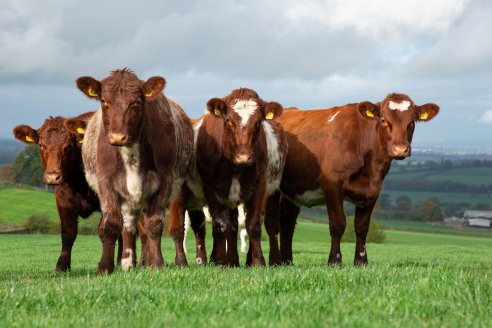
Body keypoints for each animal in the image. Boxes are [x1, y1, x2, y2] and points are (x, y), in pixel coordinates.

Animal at [65, 68, 194, 272]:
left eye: (137, 102)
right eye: (104, 101)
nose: (118, 136)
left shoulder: (165, 182)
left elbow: (154, 224)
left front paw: (157, 263)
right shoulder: (106, 183)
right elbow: (111, 225)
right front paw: (105, 266)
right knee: (128, 227)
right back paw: (127, 262)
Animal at [170, 88, 288, 266]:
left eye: (258, 122)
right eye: (229, 121)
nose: (244, 156)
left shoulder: (260, 186)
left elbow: (252, 225)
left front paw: (257, 261)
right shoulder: (210, 188)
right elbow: (220, 225)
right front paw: (219, 261)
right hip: (180, 195)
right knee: (179, 229)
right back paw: (181, 261)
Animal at [268, 92, 440, 266]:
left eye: (412, 122)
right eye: (383, 120)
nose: (400, 149)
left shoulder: (373, 190)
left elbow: (362, 227)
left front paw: (361, 261)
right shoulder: (332, 185)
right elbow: (338, 223)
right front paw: (335, 261)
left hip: (294, 191)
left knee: (287, 223)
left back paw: (287, 261)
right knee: (273, 222)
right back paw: (275, 261)